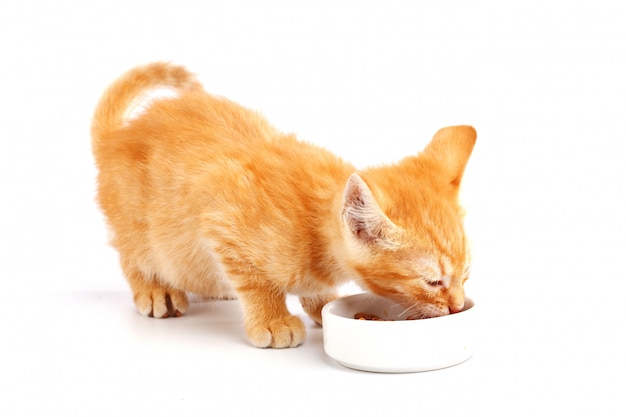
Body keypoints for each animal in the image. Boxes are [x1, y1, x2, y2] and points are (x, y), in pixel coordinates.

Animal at [91, 62, 472, 348]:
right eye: (433, 281)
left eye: (466, 275)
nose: (456, 306)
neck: (312, 226)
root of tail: (115, 139)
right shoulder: (221, 217)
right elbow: (255, 282)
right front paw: (272, 319)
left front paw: (322, 303)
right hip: (138, 227)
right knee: (133, 255)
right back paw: (156, 290)